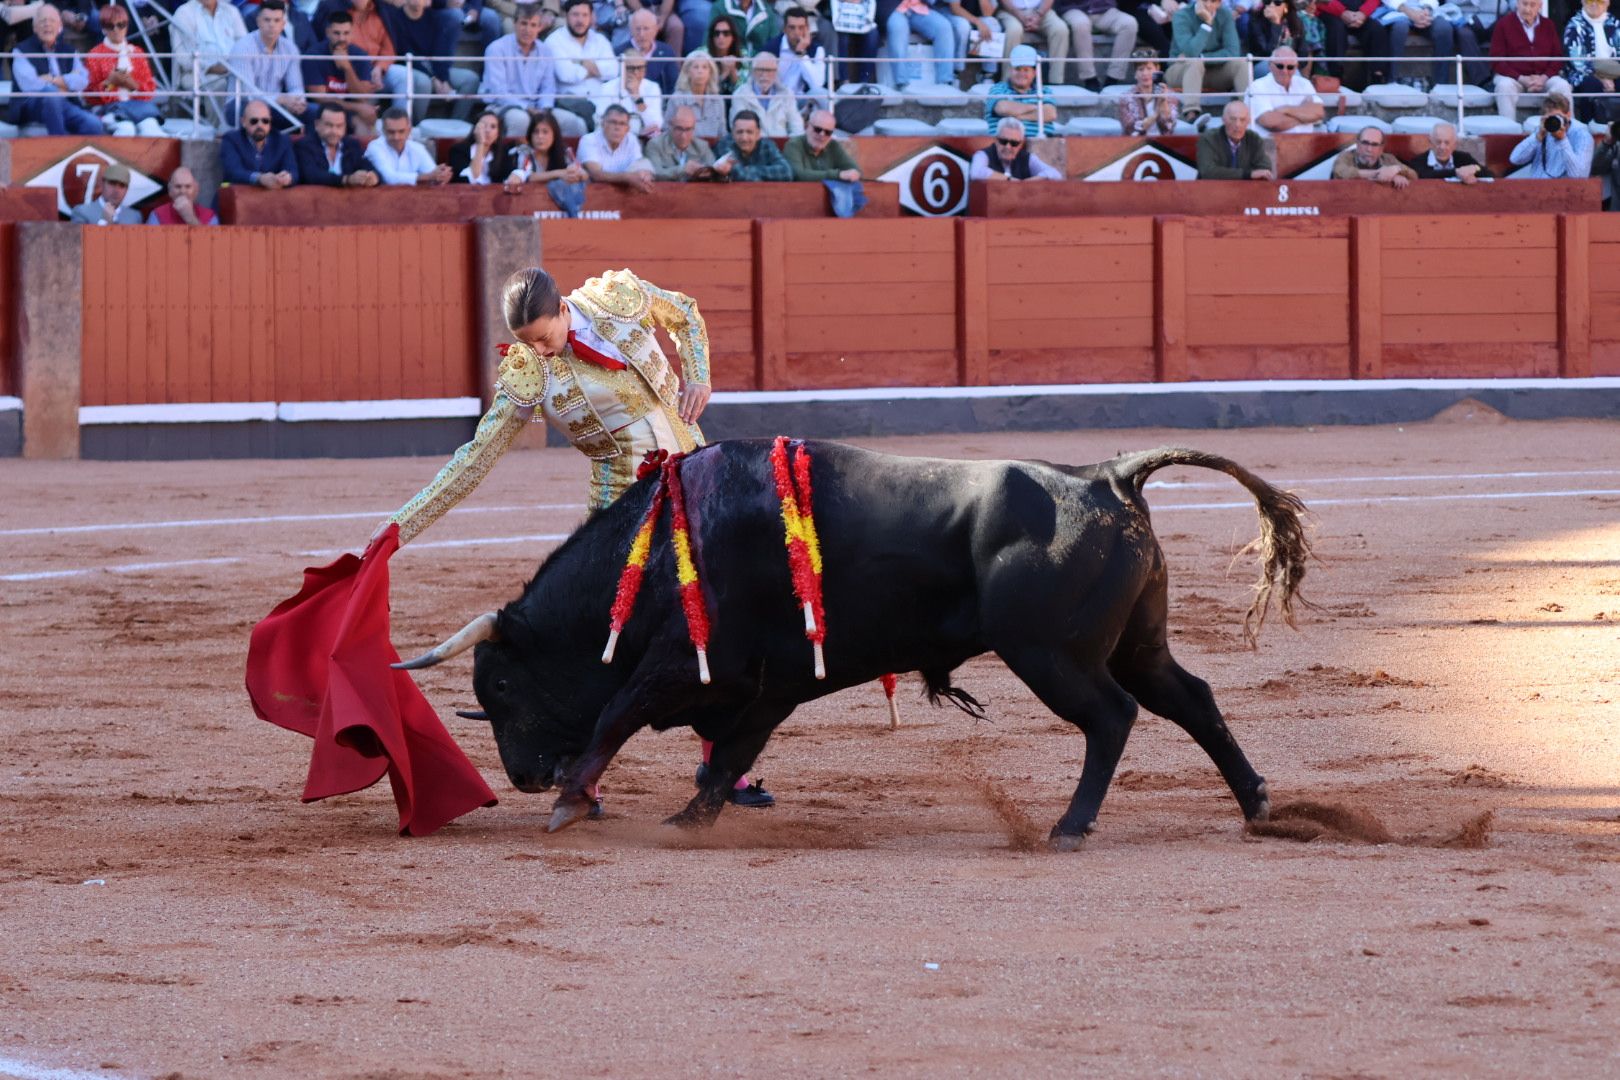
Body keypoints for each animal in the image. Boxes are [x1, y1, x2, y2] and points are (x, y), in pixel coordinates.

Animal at [398, 440, 1308, 854]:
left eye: (501, 689)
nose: (521, 777)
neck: (659, 550)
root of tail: (1107, 476)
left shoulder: (690, 661)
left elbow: (617, 712)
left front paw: (571, 800)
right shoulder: (768, 686)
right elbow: (731, 754)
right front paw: (692, 818)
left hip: (1049, 654)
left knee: (1112, 718)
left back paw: (1069, 825)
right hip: (1135, 644)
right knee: (1189, 699)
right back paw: (1259, 803)